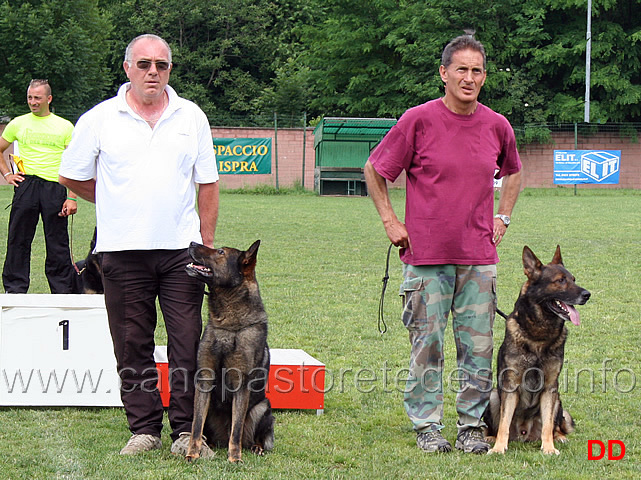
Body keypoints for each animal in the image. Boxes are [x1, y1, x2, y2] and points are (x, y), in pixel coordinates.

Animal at [185, 242, 276, 464]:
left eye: (220, 252)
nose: (191, 243)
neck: (227, 327)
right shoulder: (204, 381)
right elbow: (196, 427)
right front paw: (192, 453)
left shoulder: (241, 385)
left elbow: (237, 429)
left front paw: (234, 458)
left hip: (262, 407)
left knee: (251, 435)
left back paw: (256, 447)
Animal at [484, 246, 592, 456]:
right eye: (560, 280)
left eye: (573, 279)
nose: (587, 294)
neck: (539, 336)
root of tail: (524, 434)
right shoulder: (510, 386)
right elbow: (503, 423)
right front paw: (499, 447)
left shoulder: (550, 387)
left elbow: (548, 424)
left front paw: (549, 448)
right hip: (493, 395)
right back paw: (490, 437)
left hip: (557, 399)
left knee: (556, 425)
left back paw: (559, 437)